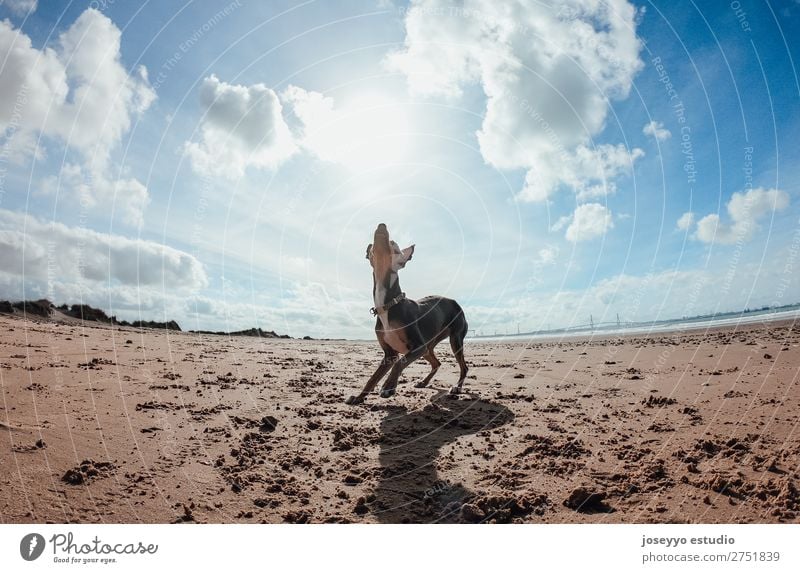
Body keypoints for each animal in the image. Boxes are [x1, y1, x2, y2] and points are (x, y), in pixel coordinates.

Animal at [344, 221, 468, 404]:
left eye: (394, 245)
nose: (381, 225)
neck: (388, 305)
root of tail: (455, 302)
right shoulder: (389, 354)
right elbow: (372, 378)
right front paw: (359, 397)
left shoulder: (416, 347)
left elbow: (400, 363)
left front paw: (388, 388)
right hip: (429, 346)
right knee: (436, 363)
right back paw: (424, 382)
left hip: (454, 339)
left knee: (463, 366)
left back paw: (457, 387)